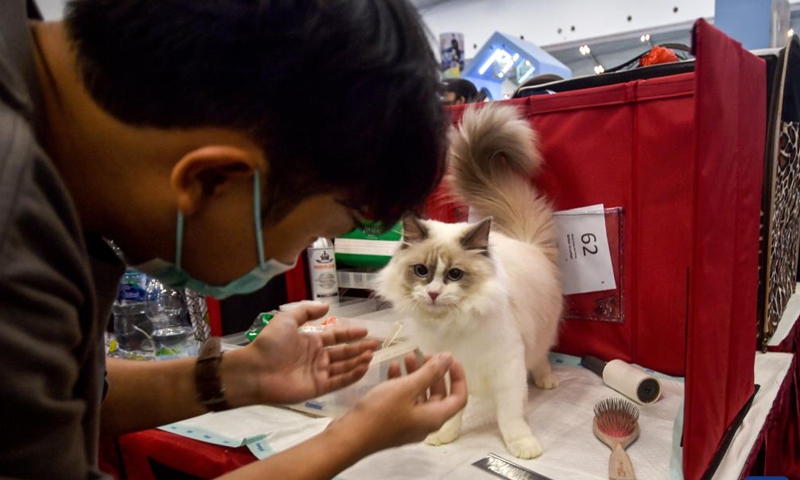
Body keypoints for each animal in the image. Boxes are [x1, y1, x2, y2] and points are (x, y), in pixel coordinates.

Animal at [376, 104, 564, 458]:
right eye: (421, 271)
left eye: (454, 274)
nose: (433, 293)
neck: (454, 325)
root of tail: (524, 242)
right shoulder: (448, 370)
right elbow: (452, 411)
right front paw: (442, 435)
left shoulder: (508, 368)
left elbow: (510, 417)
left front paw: (522, 446)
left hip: (541, 335)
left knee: (541, 357)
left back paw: (547, 380)